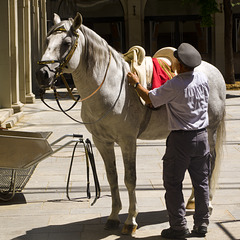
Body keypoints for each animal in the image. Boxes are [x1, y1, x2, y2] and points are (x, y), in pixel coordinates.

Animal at [35, 12, 225, 234]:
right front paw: (113, 216)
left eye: (66, 43)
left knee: (209, 163)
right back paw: (194, 201)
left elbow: (130, 179)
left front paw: (130, 220)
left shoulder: (128, 141)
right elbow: (112, 177)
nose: (42, 74)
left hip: (210, 130)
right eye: (46, 40)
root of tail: (214, 71)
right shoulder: (102, 142)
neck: (109, 85)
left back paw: (207, 203)